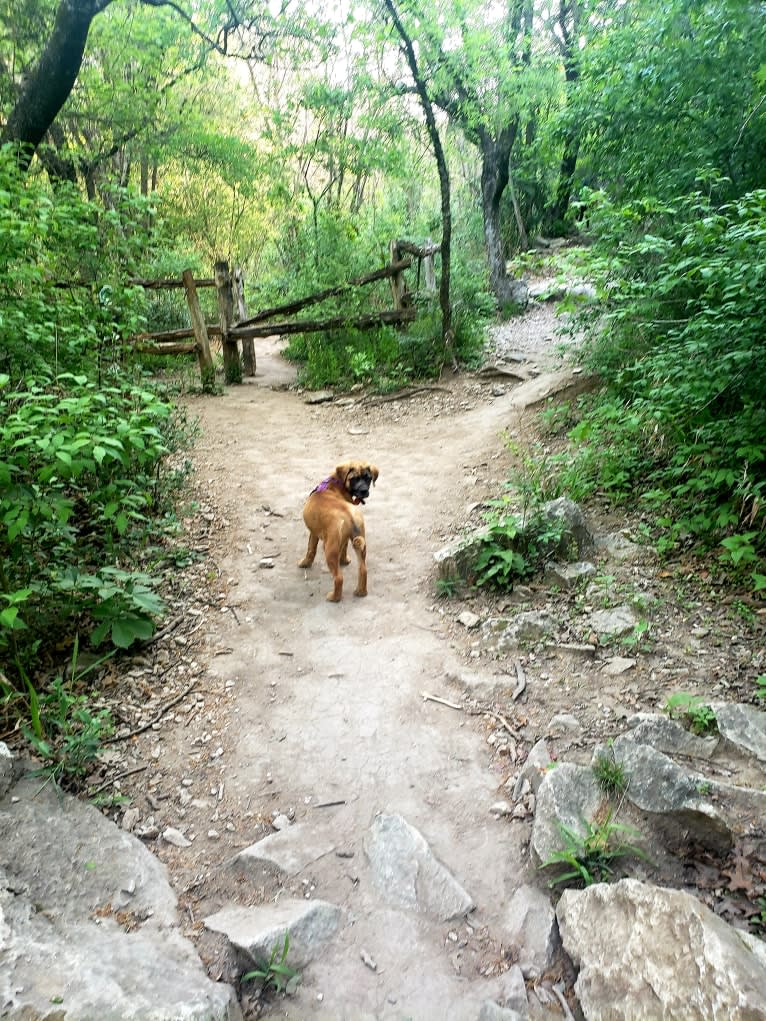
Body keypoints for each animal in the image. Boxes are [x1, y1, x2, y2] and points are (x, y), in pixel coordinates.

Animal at [302, 461, 381, 596]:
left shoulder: (314, 533)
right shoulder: (339, 538)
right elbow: (315, 550)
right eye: (354, 479)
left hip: (329, 549)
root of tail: (348, 514)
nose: (364, 491)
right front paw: (344, 561)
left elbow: (310, 549)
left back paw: (333, 597)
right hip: (360, 542)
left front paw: (304, 563)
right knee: (363, 569)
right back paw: (360, 592)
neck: (336, 483)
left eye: (368, 478)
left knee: (339, 578)